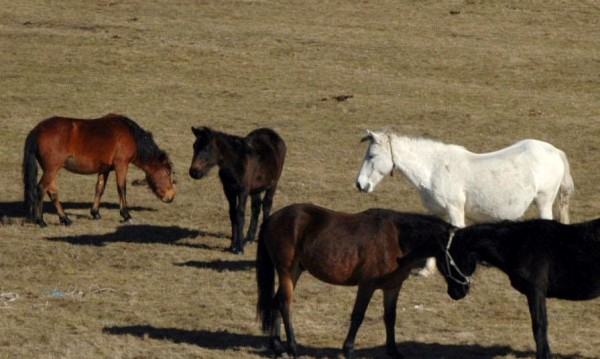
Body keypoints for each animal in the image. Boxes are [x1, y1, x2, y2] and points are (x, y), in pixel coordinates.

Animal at [22, 114, 175, 228]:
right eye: (167, 173)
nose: (171, 196)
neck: (130, 134)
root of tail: (37, 129)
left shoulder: (105, 169)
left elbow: (99, 189)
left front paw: (95, 212)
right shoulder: (121, 165)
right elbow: (122, 188)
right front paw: (126, 215)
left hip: (51, 170)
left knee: (52, 192)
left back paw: (65, 219)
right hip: (51, 169)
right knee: (41, 188)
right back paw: (41, 220)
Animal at [255, 204, 458, 358]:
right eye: (458, 256)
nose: (458, 292)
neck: (397, 238)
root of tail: (271, 218)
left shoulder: (393, 286)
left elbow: (390, 317)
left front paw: (393, 351)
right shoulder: (367, 285)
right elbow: (358, 316)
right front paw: (349, 350)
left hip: (295, 271)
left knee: (276, 303)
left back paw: (277, 347)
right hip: (286, 271)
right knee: (284, 304)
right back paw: (293, 347)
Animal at [356, 131, 576, 278]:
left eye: (372, 155)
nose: (359, 184)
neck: (434, 169)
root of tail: (554, 151)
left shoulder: (455, 210)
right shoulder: (436, 212)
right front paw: (427, 271)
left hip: (544, 201)